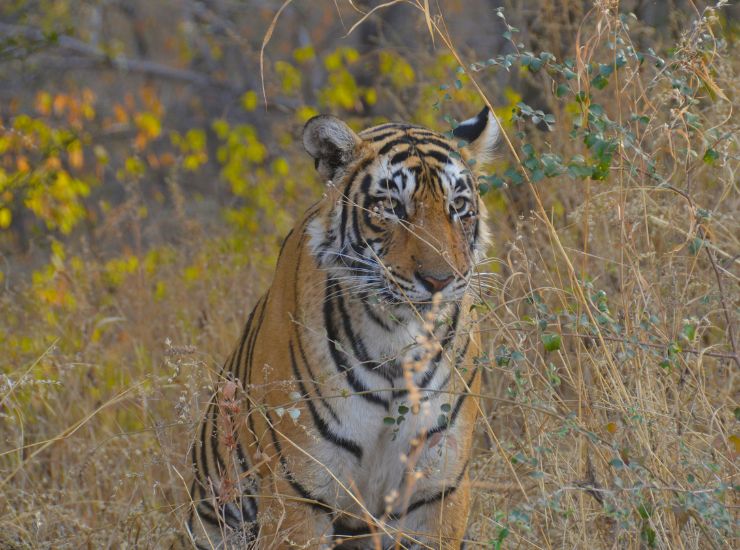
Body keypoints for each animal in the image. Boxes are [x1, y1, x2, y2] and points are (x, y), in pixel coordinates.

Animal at [186, 106, 499, 549]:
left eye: (459, 207)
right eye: (392, 207)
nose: (439, 280)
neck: (397, 340)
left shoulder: (437, 487)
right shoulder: (301, 488)